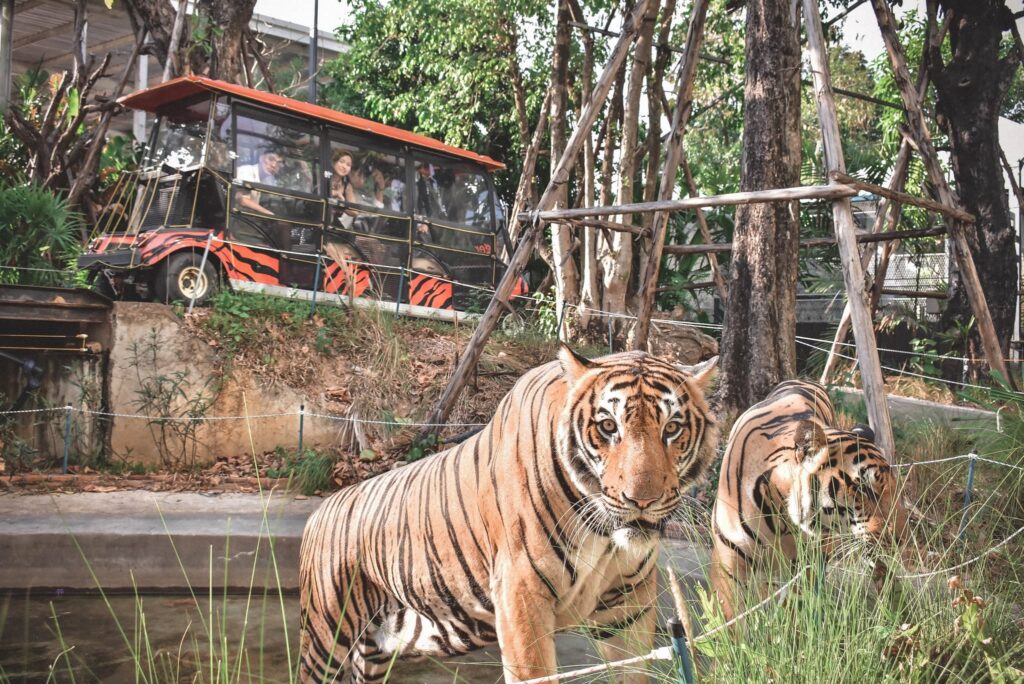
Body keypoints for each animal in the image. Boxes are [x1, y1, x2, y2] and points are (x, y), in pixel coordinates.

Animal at [299, 346, 719, 683]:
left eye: (672, 428)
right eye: (607, 426)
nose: (641, 501)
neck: (602, 533)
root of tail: (323, 507)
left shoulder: (629, 603)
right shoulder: (522, 594)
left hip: (384, 644)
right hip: (326, 637)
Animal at [709, 379, 908, 620]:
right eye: (864, 489)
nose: (901, 538)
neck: (780, 517)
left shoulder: (804, 568)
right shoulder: (729, 567)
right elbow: (731, 619)